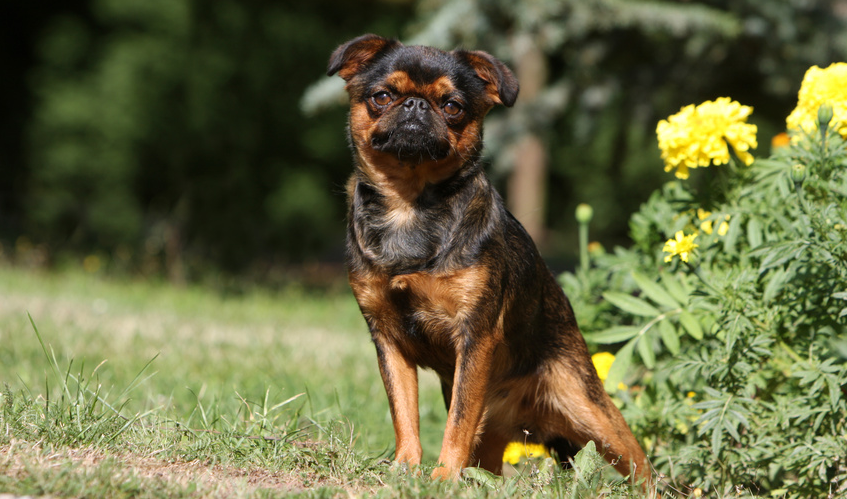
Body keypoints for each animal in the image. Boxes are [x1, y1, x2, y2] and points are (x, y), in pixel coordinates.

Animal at [326, 35, 648, 484]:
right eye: (383, 96)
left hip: (588, 406)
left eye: (452, 106)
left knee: (641, 463)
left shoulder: (475, 336)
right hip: (498, 429)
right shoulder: (388, 341)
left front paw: (443, 477)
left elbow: (458, 421)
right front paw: (406, 468)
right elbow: (403, 412)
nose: (415, 104)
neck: (409, 205)